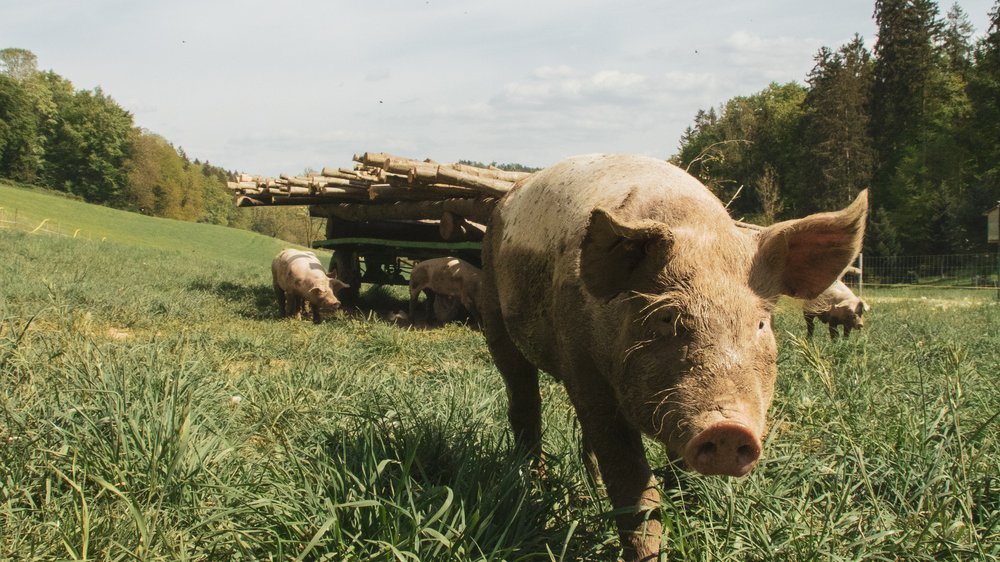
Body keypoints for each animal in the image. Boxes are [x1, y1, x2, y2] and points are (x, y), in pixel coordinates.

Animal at [478, 153, 868, 560]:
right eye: (667, 317)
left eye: (760, 324)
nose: (729, 429)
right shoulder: (581, 365)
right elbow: (632, 482)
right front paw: (649, 552)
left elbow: (676, 468)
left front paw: (688, 514)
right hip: (492, 306)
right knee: (523, 399)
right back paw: (531, 483)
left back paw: (589, 487)